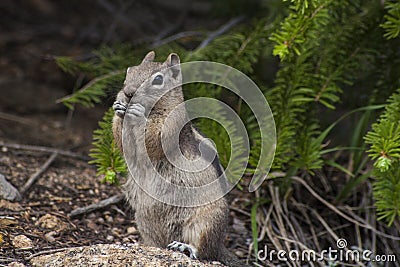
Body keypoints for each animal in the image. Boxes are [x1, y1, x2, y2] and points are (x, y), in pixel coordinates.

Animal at [112, 51, 244, 266]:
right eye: (130, 70)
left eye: (158, 80)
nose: (128, 93)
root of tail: (220, 246)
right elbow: (124, 145)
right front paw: (118, 109)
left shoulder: (172, 123)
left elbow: (154, 140)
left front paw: (138, 115)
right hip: (143, 221)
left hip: (205, 220)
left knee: (205, 250)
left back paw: (186, 247)